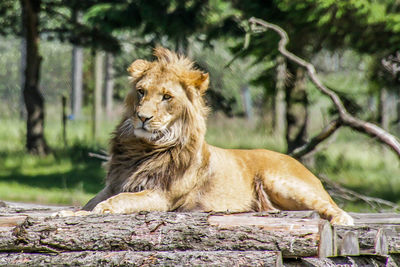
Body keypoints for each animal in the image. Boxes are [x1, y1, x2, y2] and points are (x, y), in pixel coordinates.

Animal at [80, 47, 354, 226]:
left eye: (166, 97)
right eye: (140, 92)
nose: (142, 117)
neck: (142, 148)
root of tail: (296, 161)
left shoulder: (162, 196)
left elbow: (122, 199)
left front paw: (103, 209)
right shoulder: (114, 183)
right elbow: (89, 203)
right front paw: (75, 213)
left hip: (282, 182)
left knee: (332, 205)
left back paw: (342, 220)